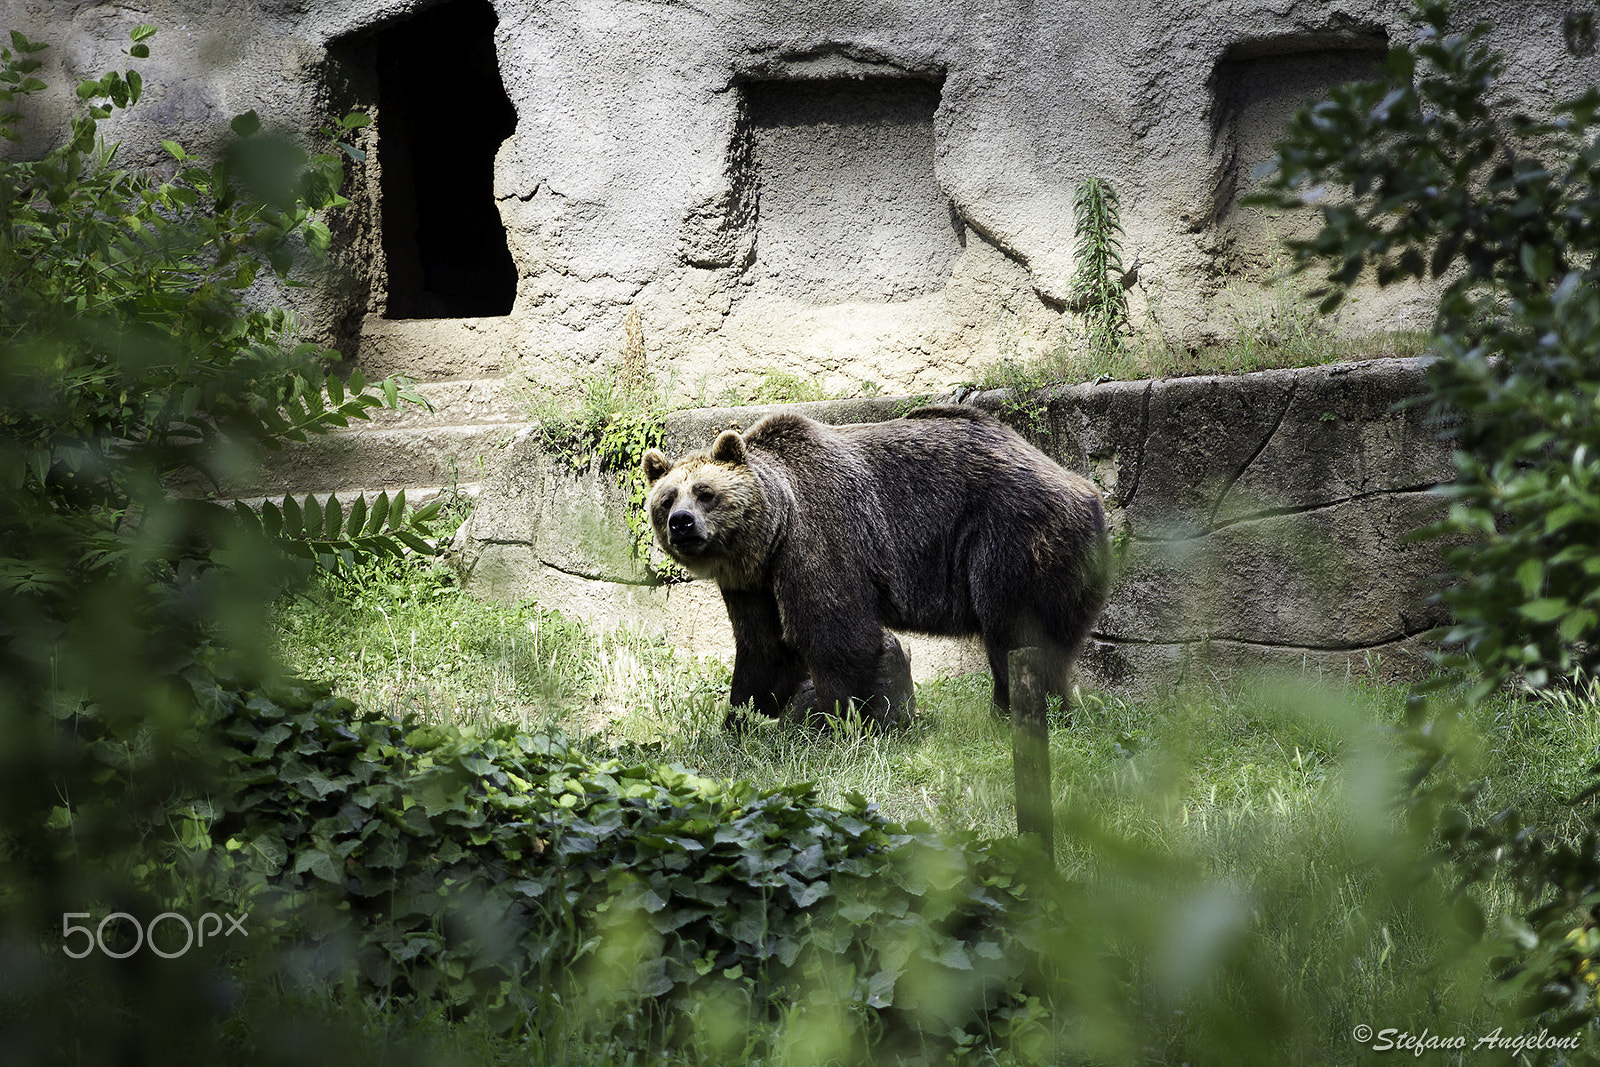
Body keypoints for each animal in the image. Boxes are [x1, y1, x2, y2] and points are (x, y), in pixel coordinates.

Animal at [641, 406, 1110, 727]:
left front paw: (836, 720)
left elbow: (837, 633)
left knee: (1017, 632)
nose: (681, 523)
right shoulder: (752, 583)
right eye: (666, 499)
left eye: (705, 493)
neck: (772, 533)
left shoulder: (818, 539)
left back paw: (1015, 712)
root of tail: (1084, 487)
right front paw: (739, 720)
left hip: (1014, 538)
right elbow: (764, 646)